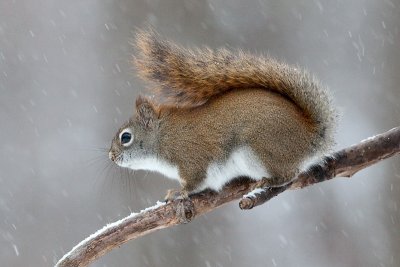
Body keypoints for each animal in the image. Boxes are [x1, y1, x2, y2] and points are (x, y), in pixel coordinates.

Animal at [108, 30, 336, 202]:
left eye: (126, 137)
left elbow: (195, 182)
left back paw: (268, 181)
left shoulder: (191, 158)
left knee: (290, 174)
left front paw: (179, 193)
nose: (111, 157)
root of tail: (311, 138)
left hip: (260, 148)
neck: (164, 136)